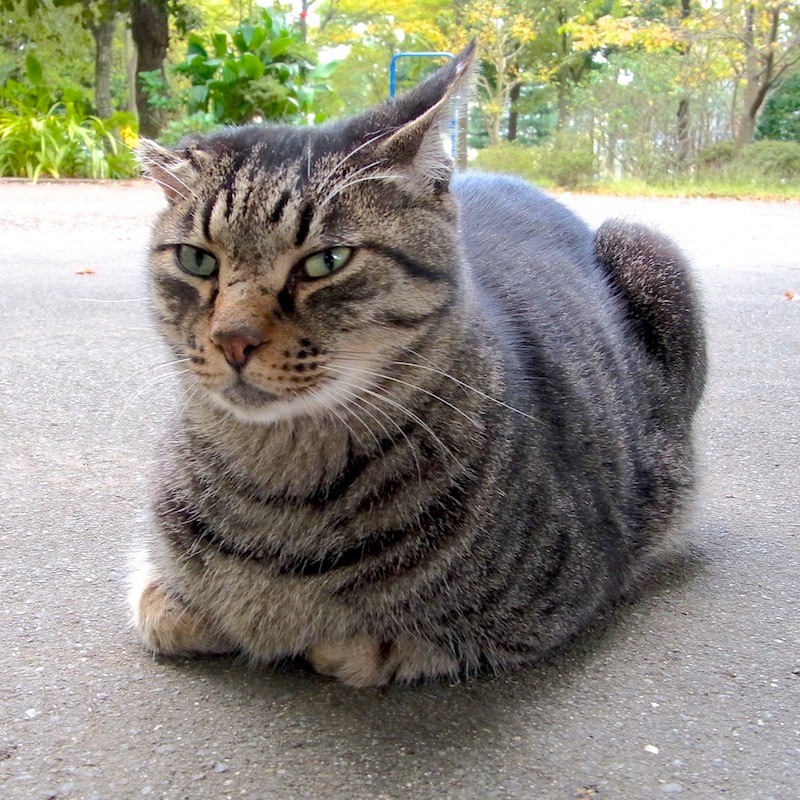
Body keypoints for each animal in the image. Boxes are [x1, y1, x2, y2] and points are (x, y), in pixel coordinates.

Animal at [130, 42, 708, 688]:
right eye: (196, 260)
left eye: (327, 261)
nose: (233, 339)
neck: (277, 481)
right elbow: (163, 606)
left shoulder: (562, 591)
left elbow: (368, 646)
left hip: (648, 250)